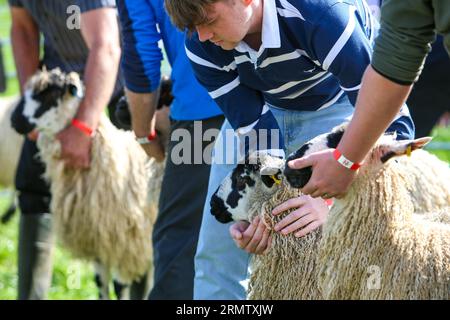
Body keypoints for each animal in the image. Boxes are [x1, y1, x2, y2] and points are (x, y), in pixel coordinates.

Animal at [20, 69, 165, 298]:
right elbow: (101, 283)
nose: (15, 121)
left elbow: (120, 286)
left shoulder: (123, 242)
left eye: (50, 96)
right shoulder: (99, 242)